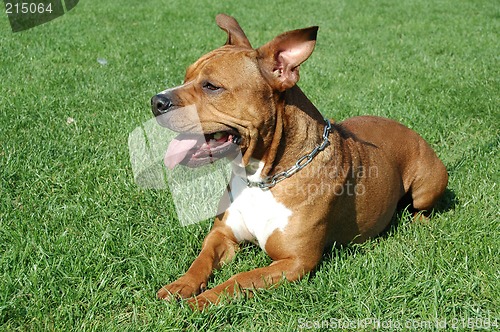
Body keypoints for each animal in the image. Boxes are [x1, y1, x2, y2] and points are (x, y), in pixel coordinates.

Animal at [150, 13, 448, 308]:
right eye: (186, 76)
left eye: (211, 86)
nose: (156, 101)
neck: (261, 178)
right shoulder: (222, 235)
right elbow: (202, 260)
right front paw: (181, 285)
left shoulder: (295, 262)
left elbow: (240, 279)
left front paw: (201, 302)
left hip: (426, 186)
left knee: (421, 208)